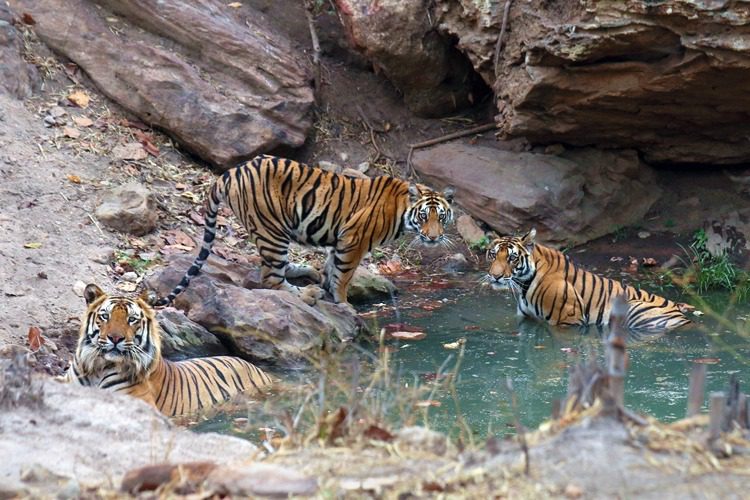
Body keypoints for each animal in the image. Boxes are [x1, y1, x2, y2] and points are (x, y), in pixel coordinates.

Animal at [156, 154, 456, 306]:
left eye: (441, 217)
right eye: (423, 216)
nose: (433, 237)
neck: (401, 210)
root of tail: (231, 171)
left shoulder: (340, 241)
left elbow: (332, 269)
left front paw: (329, 289)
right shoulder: (353, 241)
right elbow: (343, 276)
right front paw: (343, 303)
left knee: (273, 268)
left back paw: (307, 273)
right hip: (273, 230)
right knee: (271, 279)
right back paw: (307, 294)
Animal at [488, 229, 692, 332]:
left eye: (512, 258)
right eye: (492, 255)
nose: (495, 276)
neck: (524, 283)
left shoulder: (568, 320)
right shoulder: (526, 318)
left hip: (633, 308)